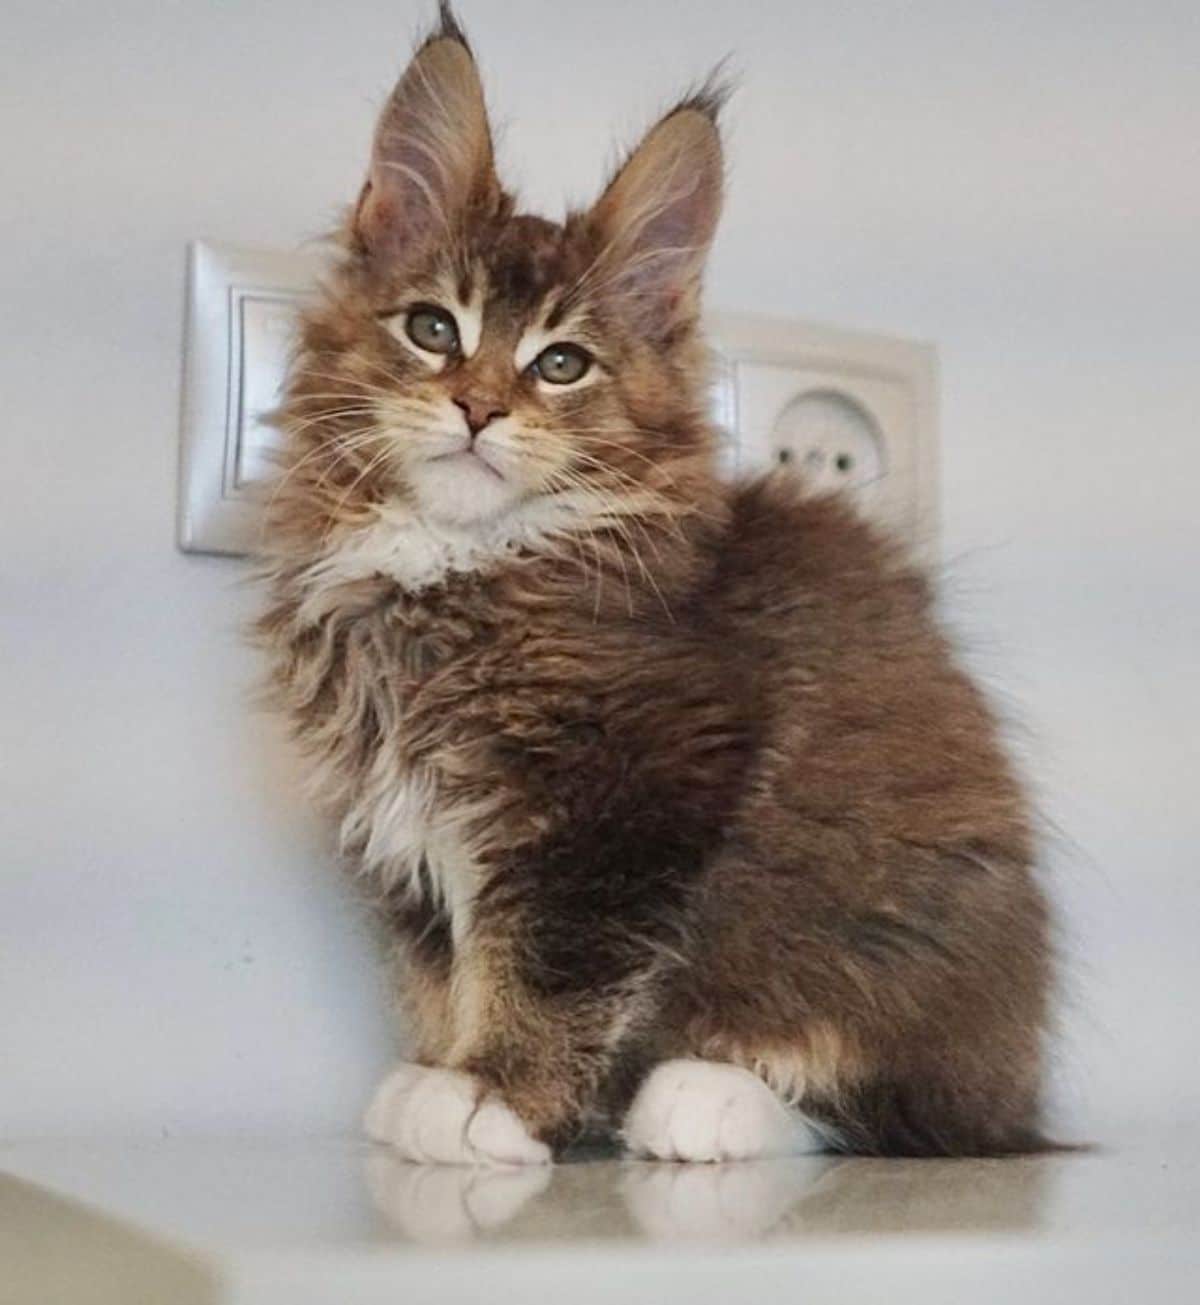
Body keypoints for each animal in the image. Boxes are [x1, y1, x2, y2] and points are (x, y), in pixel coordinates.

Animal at [255, 0, 1048, 1164]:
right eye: (433, 329)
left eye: (560, 364)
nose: (478, 408)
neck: (455, 565)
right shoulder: (399, 823)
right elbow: (444, 965)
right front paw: (438, 1070)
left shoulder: (634, 785)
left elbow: (549, 962)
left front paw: (495, 1095)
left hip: (886, 938)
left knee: (913, 1114)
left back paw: (708, 1095)